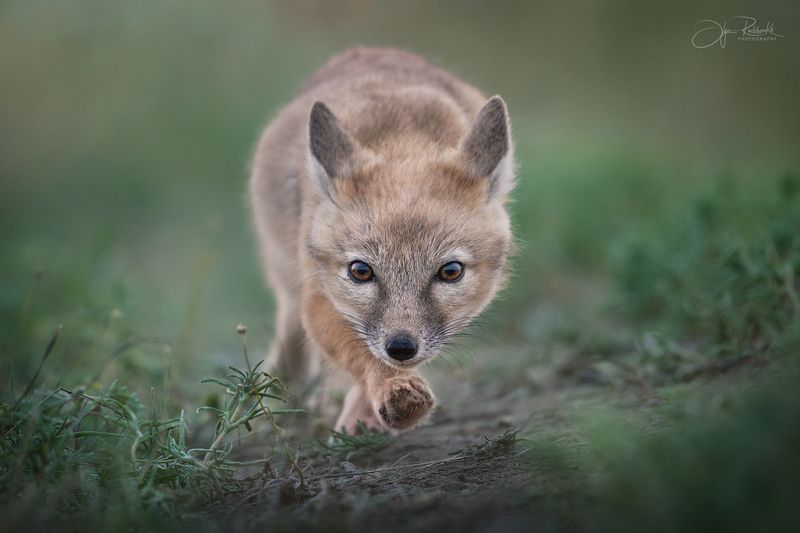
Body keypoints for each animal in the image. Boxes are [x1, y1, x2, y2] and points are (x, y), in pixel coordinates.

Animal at [249, 47, 515, 434]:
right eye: (361, 271)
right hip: (288, 278)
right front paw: (392, 390)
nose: (401, 348)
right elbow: (362, 354)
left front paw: (368, 409)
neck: (401, 137)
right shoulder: (318, 297)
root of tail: (366, 50)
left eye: (450, 271)